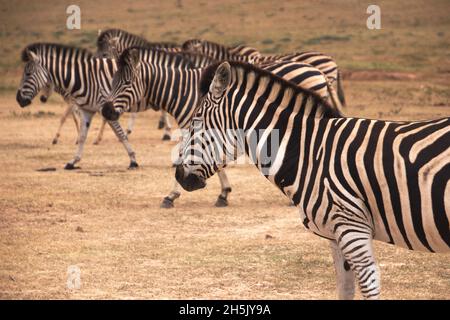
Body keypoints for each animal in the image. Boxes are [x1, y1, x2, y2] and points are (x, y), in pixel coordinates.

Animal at [101, 47, 342, 208]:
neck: (182, 91)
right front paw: (224, 192)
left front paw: (172, 195)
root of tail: (316, 70)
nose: (106, 111)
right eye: (112, 81)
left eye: (126, 83)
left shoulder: (199, 126)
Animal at [176, 60, 450, 300]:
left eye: (195, 122)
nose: (178, 175)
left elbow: (369, 284)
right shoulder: (337, 233)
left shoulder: (352, 225)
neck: (310, 151)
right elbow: (345, 289)